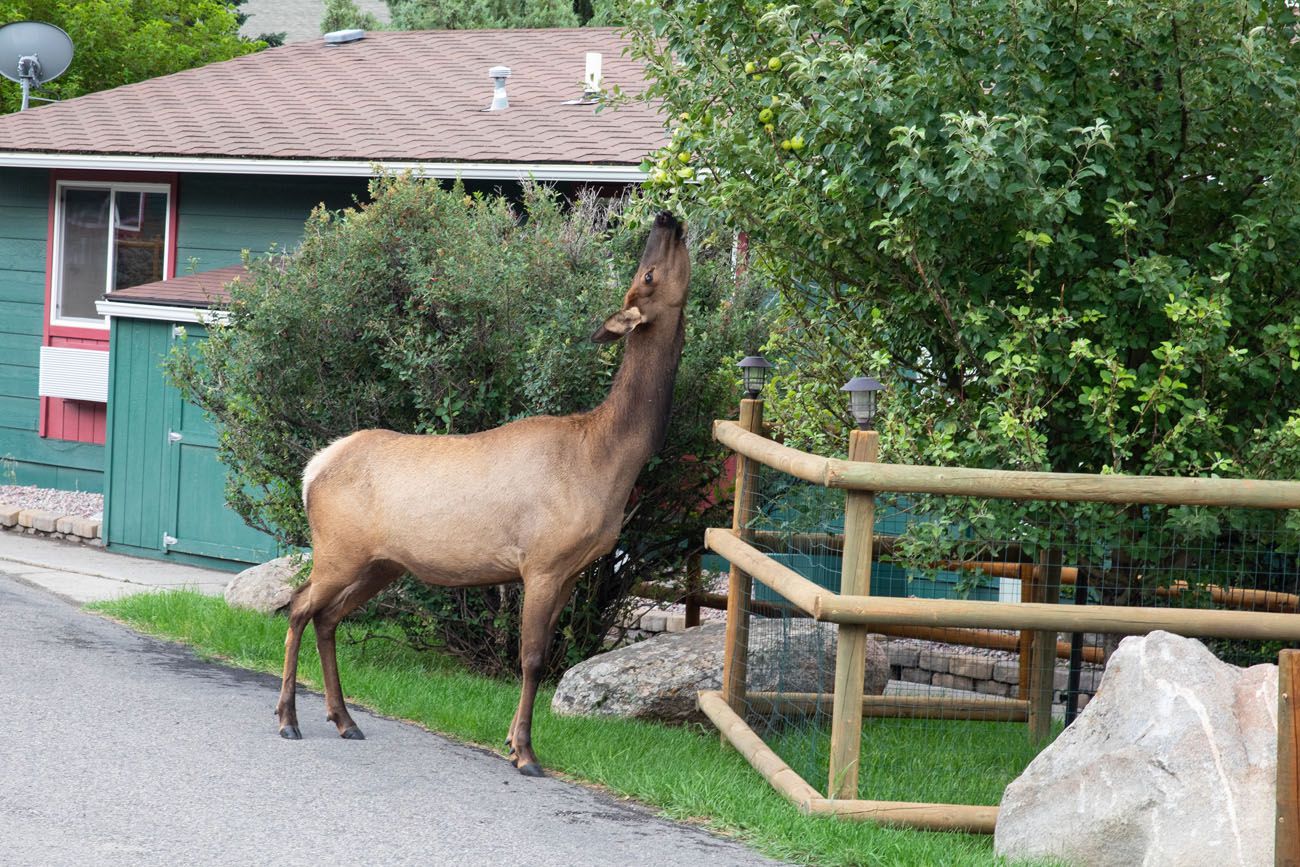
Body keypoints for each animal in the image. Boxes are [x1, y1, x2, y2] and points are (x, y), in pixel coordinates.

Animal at [276, 211, 691, 779]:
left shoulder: (570, 570)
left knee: (326, 616)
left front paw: (514, 742)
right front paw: (525, 752)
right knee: (297, 606)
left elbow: (542, 655)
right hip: (339, 549)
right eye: (647, 274)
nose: (666, 218)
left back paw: (344, 720)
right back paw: (288, 719)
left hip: (381, 563)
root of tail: (311, 470)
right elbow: (533, 658)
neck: (606, 461)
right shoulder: (542, 562)